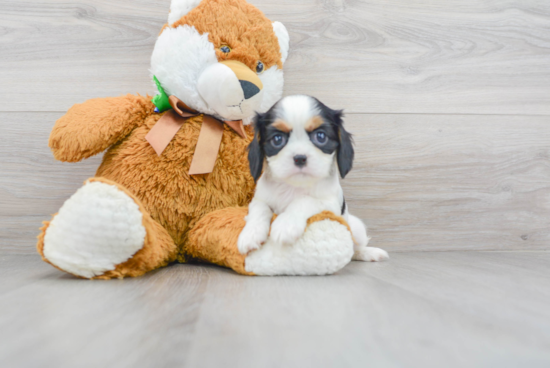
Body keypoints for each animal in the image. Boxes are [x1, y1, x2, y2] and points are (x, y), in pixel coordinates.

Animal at [239, 95, 390, 262]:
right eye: (277, 139)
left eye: (321, 137)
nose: (300, 158)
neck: (294, 186)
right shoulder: (259, 200)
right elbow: (260, 209)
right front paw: (250, 234)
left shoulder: (330, 205)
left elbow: (304, 200)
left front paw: (286, 223)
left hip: (357, 227)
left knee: (354, 248)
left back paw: (369, 253)